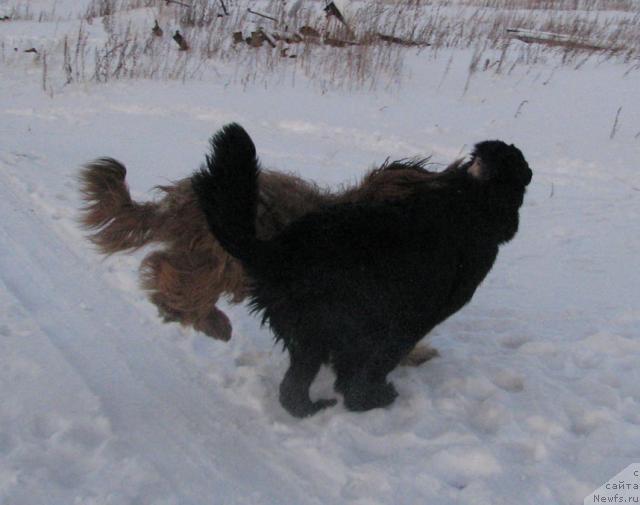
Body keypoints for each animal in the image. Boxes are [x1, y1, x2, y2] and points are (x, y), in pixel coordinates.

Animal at [192, 123, 532, 418]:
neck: (468, 199)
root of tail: (278, 250)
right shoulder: (415, 317)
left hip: (309, 337)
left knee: (293, 387)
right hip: (339, 328)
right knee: (311, 387)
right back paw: (365, 400)